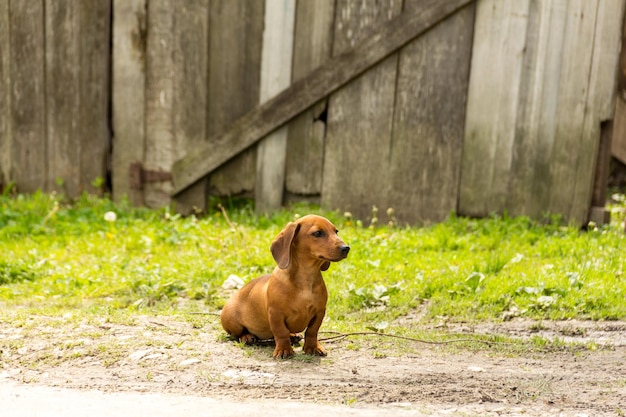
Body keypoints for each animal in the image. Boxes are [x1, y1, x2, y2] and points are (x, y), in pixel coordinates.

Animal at [219, 214, 348, 358]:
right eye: (318, 233)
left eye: (336, 231)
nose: (346, 248)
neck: (306, 278)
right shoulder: (276, 314)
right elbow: (281, 332)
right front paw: (283, 349)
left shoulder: (319, 312)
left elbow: (312, 332)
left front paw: (313, 347)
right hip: (233, 323)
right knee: (238, 334)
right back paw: (247, 337)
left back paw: (294, 335)